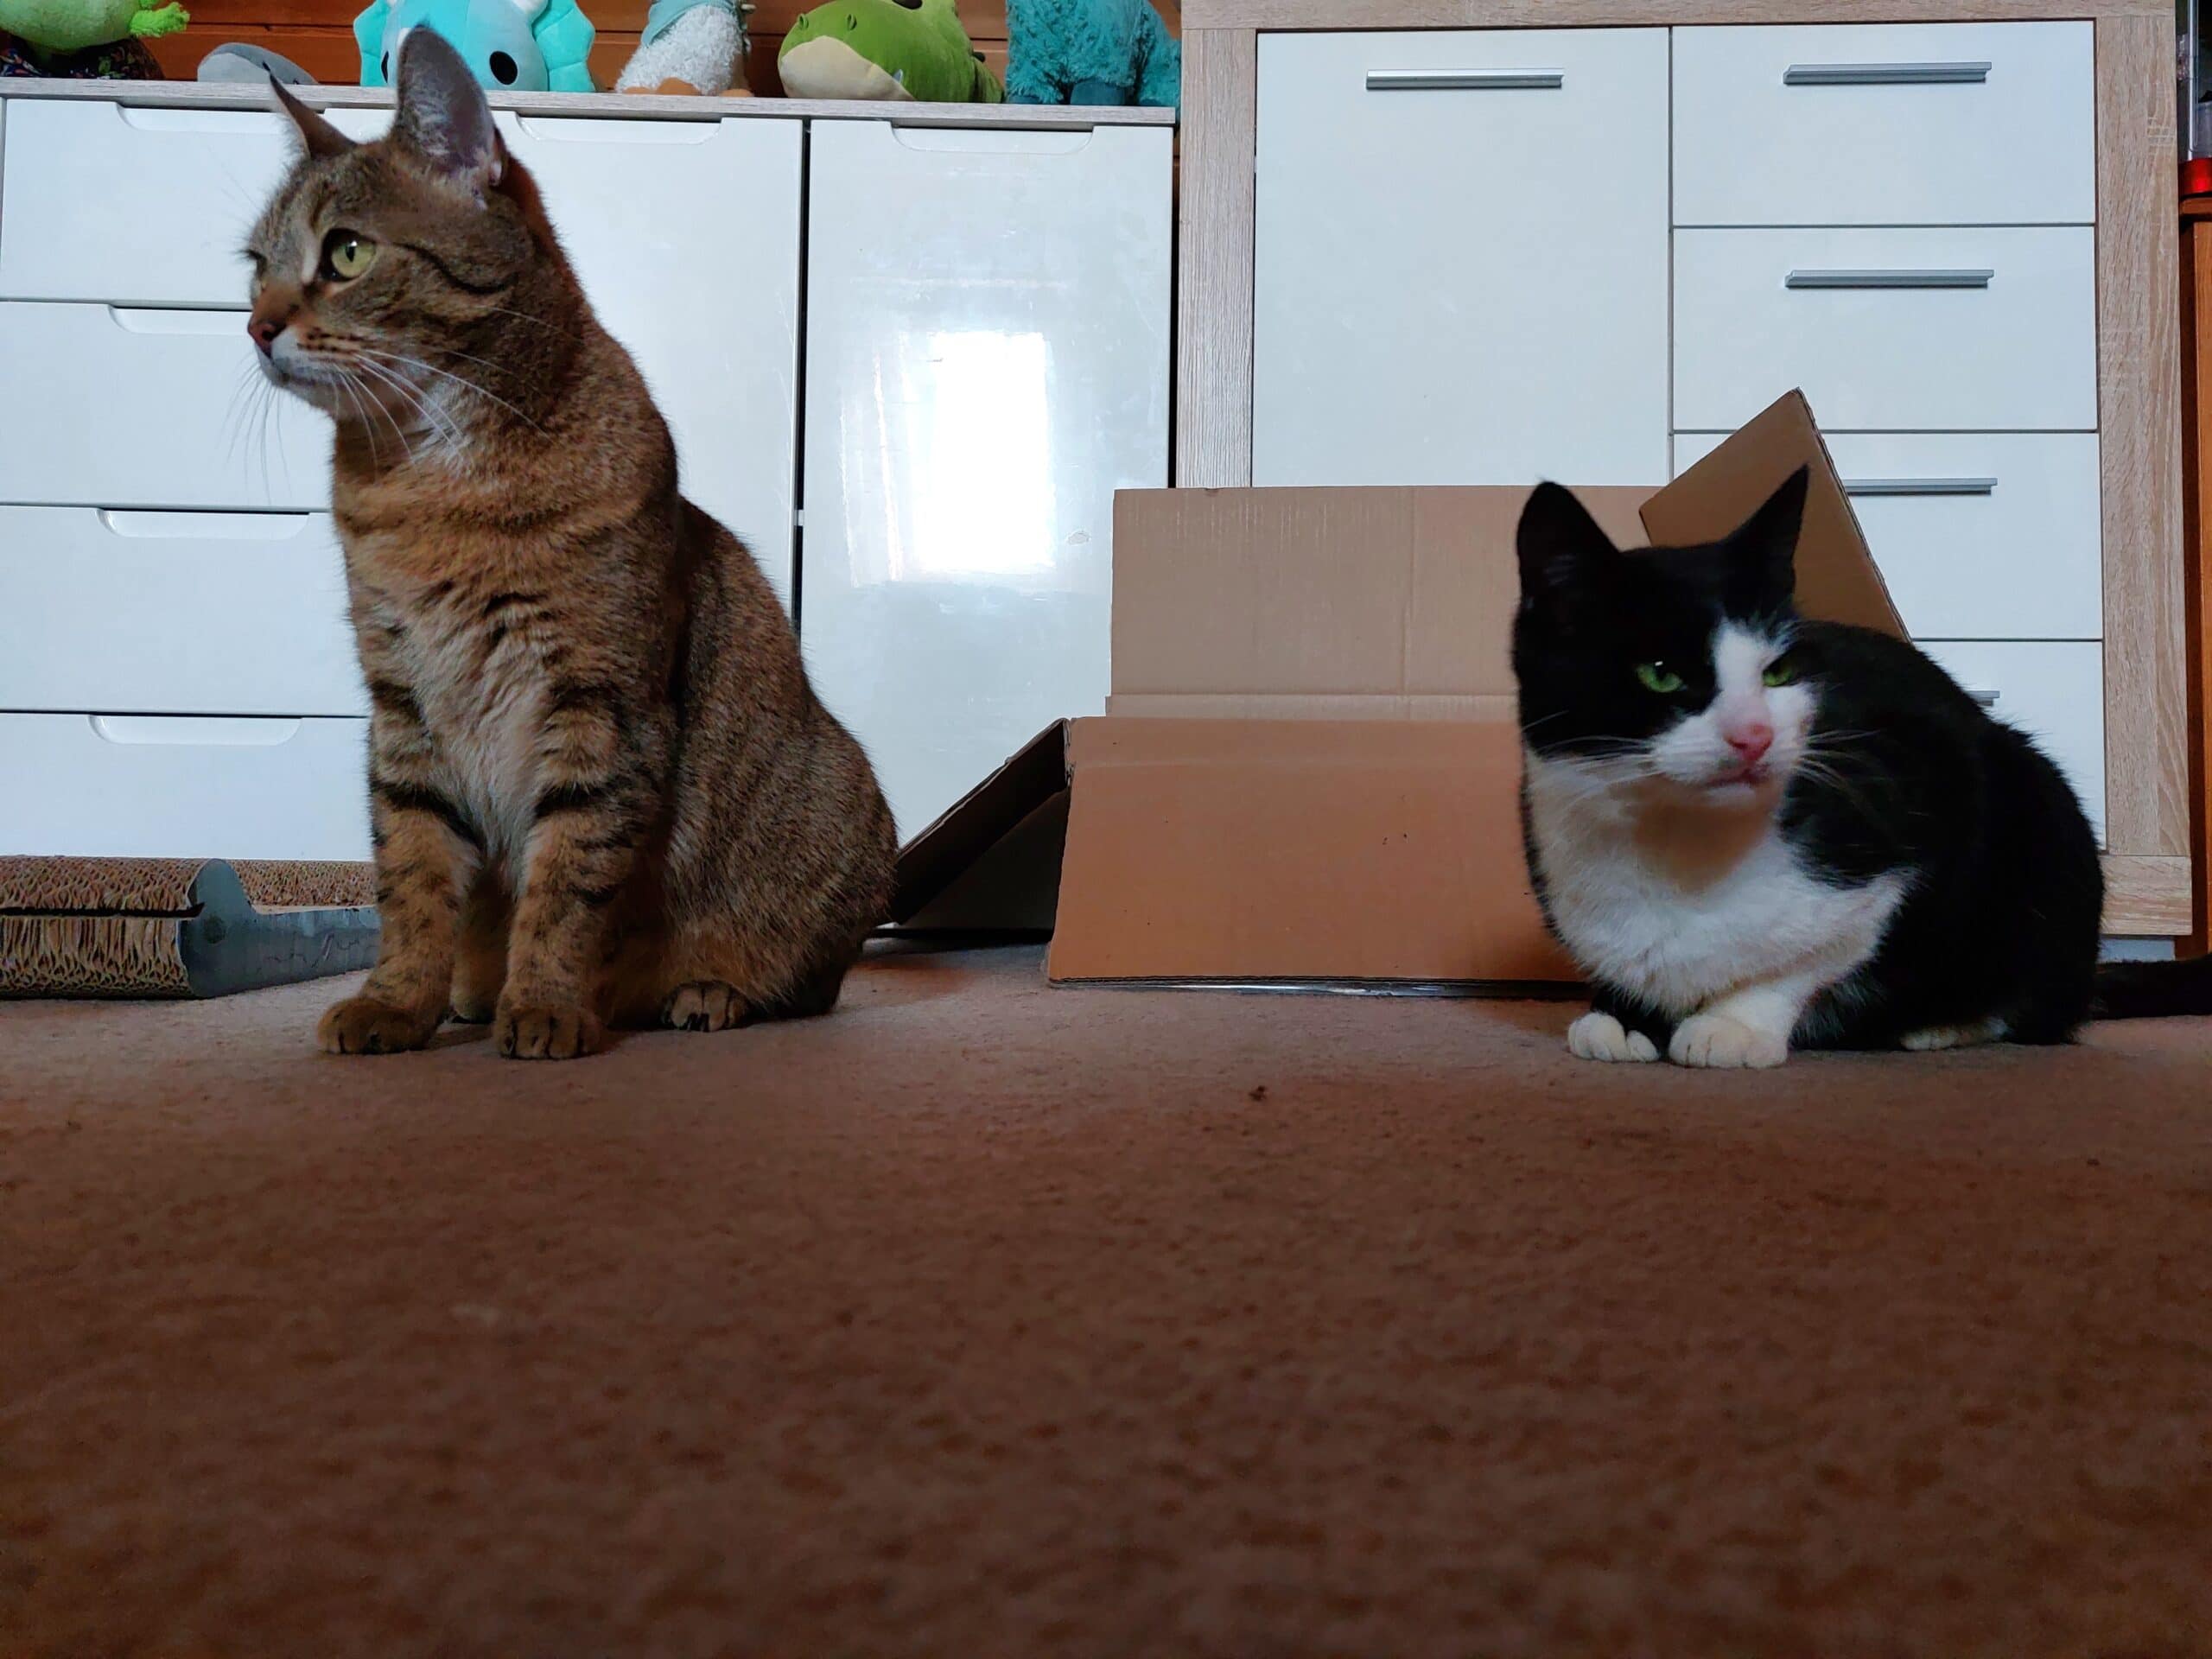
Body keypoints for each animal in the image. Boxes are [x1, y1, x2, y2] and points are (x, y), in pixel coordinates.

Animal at [248, 30, 896, 1060]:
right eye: (255, 262)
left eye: (346, 252)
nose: (256, 326)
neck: (428, 483)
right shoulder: (402, 709)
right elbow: (411, 877)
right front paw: (400, 1002)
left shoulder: (600, 704)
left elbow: (564, 881)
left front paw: (545, 1004)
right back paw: (475, 994)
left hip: (835, 812)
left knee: (812, 982)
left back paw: (706, 993)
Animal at [1509, 464, 2209, 1069]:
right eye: (1660, 673)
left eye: (1777, 672)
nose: (1755, 736)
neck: (1678, 850)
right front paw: (1623, 1017)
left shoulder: (1923, 810)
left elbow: (1809, 959)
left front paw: (1733, 1023)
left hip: (2040, 809)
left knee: (2037, 1002)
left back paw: (1941, 1025)